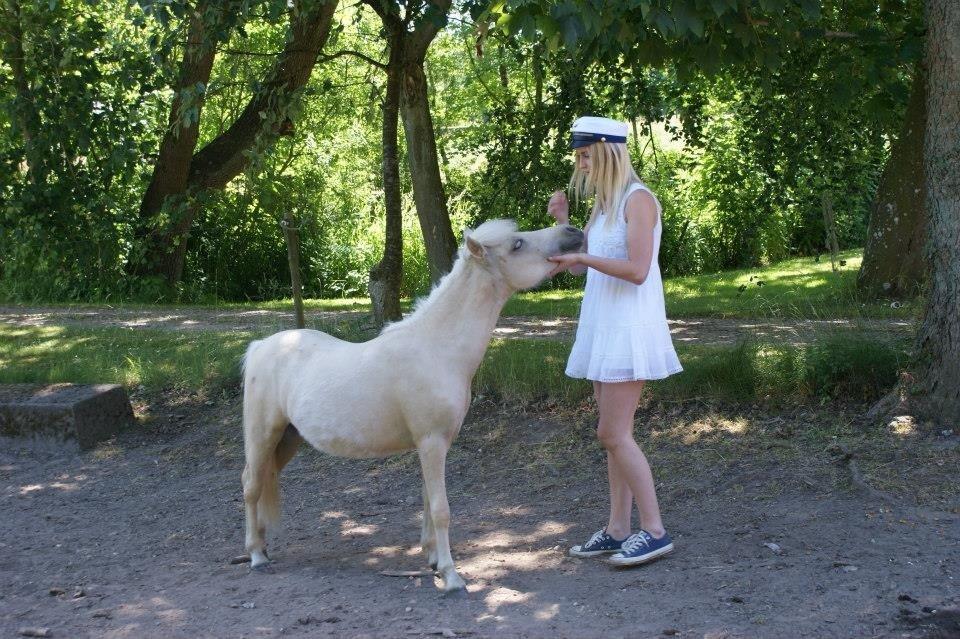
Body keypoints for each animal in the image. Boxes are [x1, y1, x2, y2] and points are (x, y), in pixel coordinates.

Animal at [240, 219, 584, 593]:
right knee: (251, 485)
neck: (437, 349)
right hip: (263, 435)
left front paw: (433, 559)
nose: (573, 232)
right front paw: (451, 576)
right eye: (516, 244)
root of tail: (259, 347)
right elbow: (441, 508)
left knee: (262, 482)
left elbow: (427, 501)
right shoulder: (431, 441)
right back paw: (256, 555)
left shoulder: (435, 444)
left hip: (288, 438)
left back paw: (262, 545)